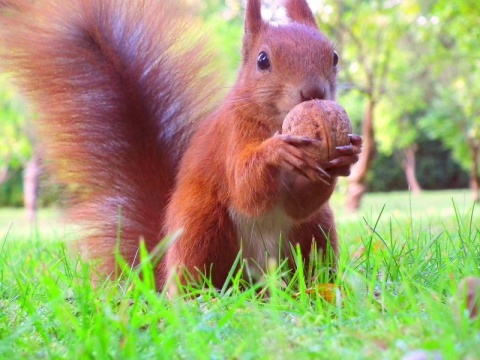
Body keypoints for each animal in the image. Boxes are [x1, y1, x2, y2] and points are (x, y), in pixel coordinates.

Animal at [0, 0, 360, 288]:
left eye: (334, 56)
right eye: (262, 60)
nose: (314, 92)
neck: (274, 122)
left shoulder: (302, 200)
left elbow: (300, 204)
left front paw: (348, 154)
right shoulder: (230, 138)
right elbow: (246, 190)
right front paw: (278, 151)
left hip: (315, 234)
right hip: (202, 229)